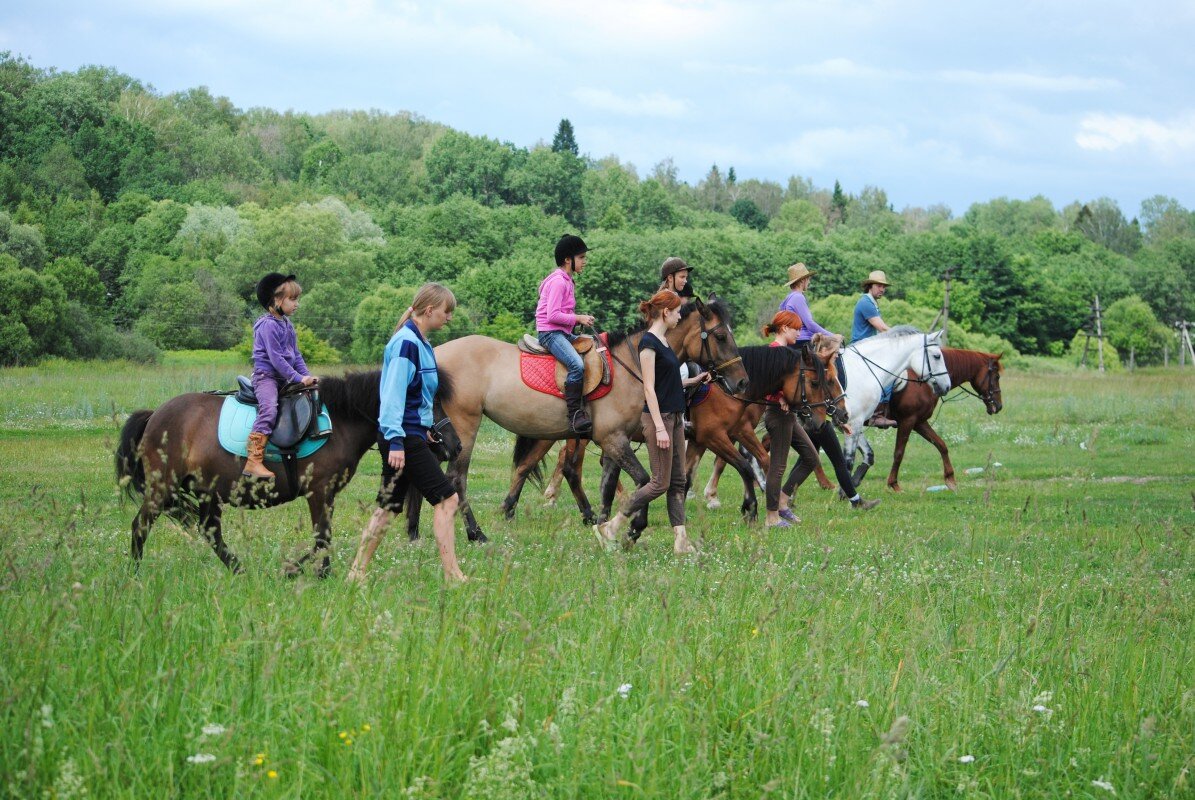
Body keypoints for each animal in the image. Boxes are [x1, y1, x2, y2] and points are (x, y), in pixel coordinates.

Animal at [114, 370, 401, 573]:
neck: (339, 421)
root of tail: (154, 415)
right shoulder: (319, 491)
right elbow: (323, 536)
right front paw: (312, 573)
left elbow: (323, 538)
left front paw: (300, 571)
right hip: (162, 487)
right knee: (140, 526)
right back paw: (134, 574)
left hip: (208, 492)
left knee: (211, 532)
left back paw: (240, 571)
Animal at [430, 296, 745, 540]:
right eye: (720, 336)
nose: (742, 382)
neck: (633, 366)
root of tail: (436, 352)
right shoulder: (614, 438)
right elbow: (644, 480)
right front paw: (634, 526)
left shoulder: (613, 441)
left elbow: (608, 486)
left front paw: (604, 525)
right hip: (465, 427)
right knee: (458, 478)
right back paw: (476, 532)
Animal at [884, 346, 1003, 490]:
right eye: (997, 377)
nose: (999, 406)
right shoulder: (907, 420)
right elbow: (899, 453)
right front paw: (894, 484)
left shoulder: (919, 422)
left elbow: (941, 445)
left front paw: (950, 478)